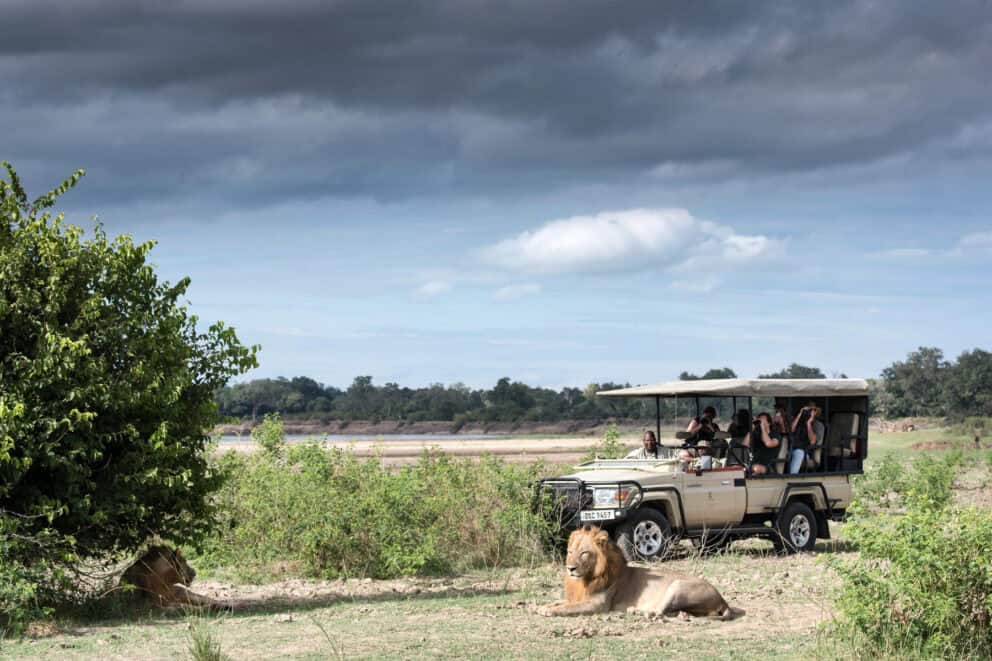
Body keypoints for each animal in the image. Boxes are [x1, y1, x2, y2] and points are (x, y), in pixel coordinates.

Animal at [537, 526, 743, 618]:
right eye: (570, 552)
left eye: (584, 553)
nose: (570, 568)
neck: (586, 579)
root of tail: (723, 600)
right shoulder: (580, 596)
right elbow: (562, 602)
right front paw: (545, 605)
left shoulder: (598, 604)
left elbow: (567, 608)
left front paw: (548, 610)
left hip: (677, 585)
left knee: (659, 611)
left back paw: (635, 610)